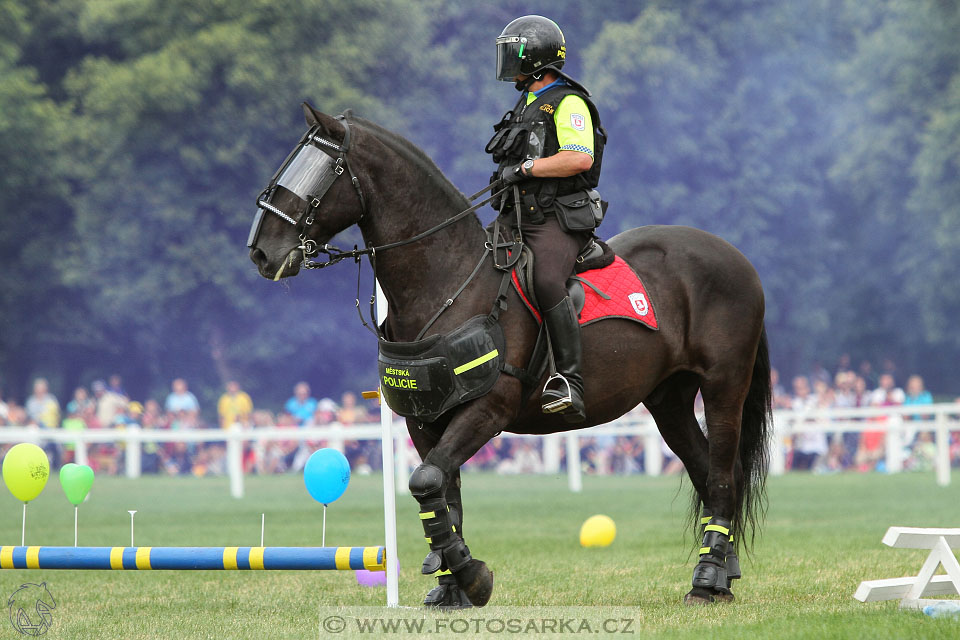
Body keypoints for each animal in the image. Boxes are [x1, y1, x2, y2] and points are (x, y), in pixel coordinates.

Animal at [249, 104, 772, 604]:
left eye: (321, 170)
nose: (261, 252)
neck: (450, 281)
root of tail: (736, 258)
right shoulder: (425, 420)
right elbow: (443, 493)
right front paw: (451, 584)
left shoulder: (488, 411)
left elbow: (426, 482)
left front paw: (472, 576)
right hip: (669, 400)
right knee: (708, 472)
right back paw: (721, 574)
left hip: (724, 387)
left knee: (723, 477)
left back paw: (707, 580)